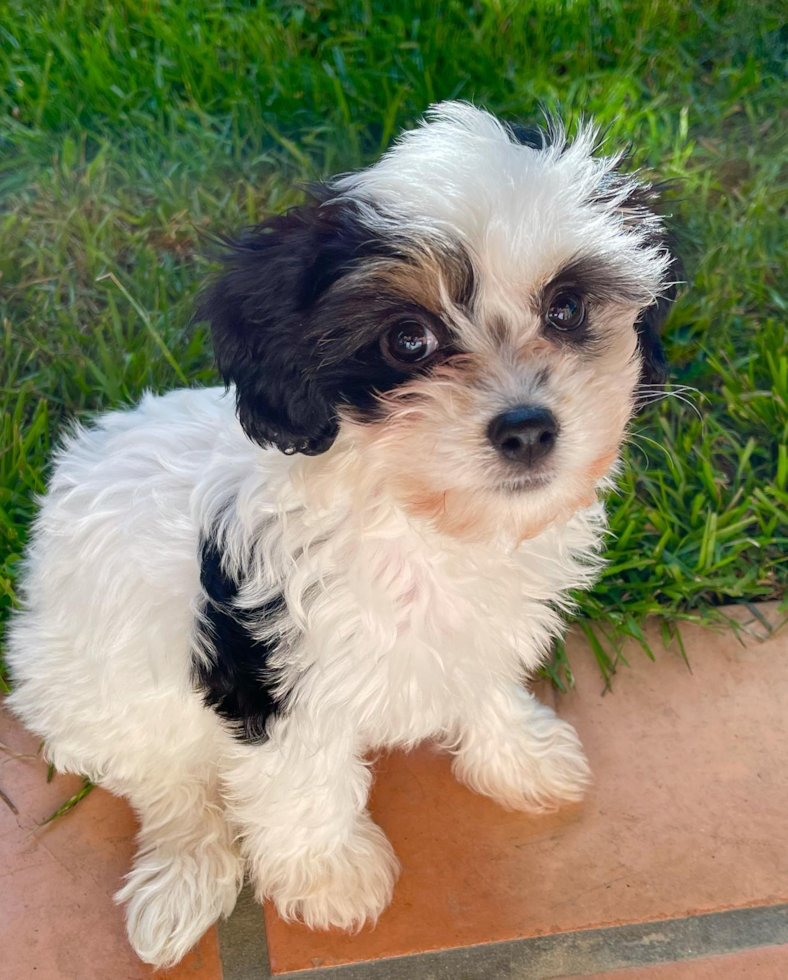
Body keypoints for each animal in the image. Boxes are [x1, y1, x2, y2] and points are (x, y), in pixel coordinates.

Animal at [4, 103, 676, 968]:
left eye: (566, 307)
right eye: (408, 339)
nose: (528, 428)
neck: (419, 517)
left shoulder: (479, 628)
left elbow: (485, 683)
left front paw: (519, 758)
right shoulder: (270, 668)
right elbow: (305, 781)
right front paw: (329, 877)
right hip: (88, 687)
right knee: (169, 783)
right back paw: (185, 873)